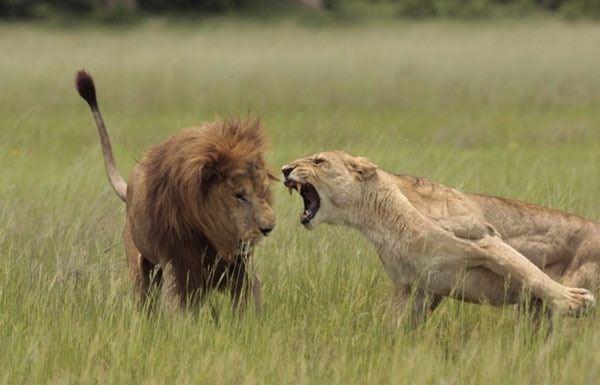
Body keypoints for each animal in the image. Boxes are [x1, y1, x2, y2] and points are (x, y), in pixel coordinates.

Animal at [76, 70, 278, 310]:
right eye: (239, 195)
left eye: (263, 193)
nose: (268, 228)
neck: (210, 230)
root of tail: (129, 190)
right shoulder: (180, 264)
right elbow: (182, 305)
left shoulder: (240, 266)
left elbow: (248, 299)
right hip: (141, 269)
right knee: (146, 299)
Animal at [284, 150, 596, 324]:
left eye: (319, 161)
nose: (286, 169)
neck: (375, 221)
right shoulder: (415, 286)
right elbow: (392, 326)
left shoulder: (484, 239)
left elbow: (529, 271)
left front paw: (572, 300)